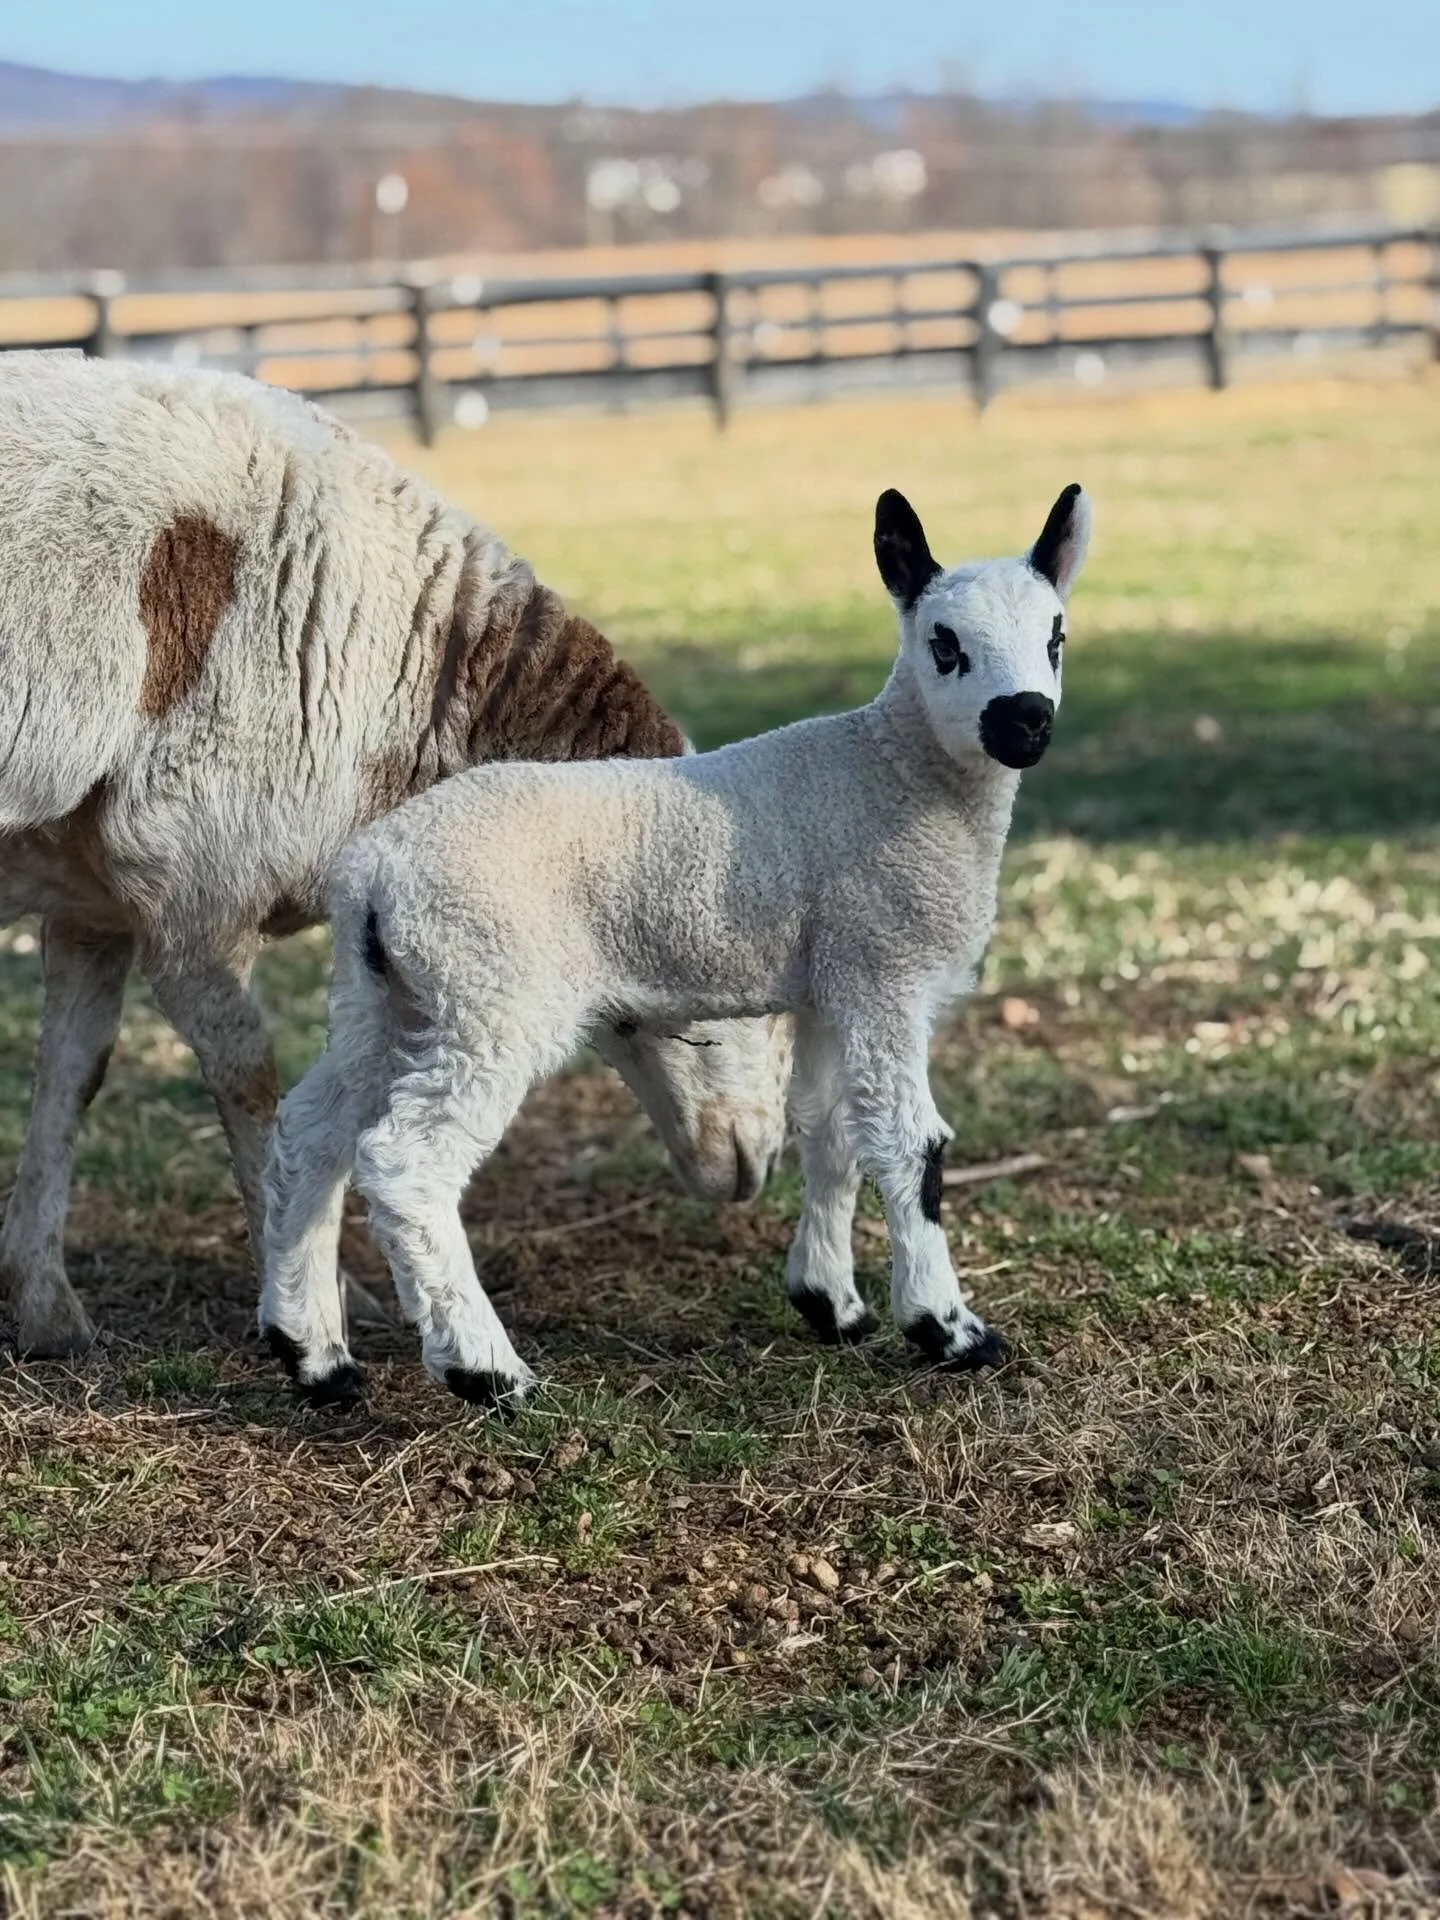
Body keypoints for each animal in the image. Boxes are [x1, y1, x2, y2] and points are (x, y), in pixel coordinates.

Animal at [0, 351, 791, 1359]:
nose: (754, 1161)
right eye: (706, 1012)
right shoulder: (194, 894)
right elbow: (254, 1090)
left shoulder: (93, 897)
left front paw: (43, 1307)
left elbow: (70, 1078)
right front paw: (322, 1302)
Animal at [259, 482, 1091, 1408]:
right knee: (406, 1159)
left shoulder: (834, 977)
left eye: (1056, 637)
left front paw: (832, 1304)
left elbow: (833, 1131)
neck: (895, 772)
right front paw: (948, 1331)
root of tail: (374, 871)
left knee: (311, 1131)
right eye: (944, 645)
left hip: (388, 998)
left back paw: (313, 1354)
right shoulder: (886, 964)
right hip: (489, 994)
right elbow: (912, 1142)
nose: (1024, 721)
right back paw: (487, 1372)